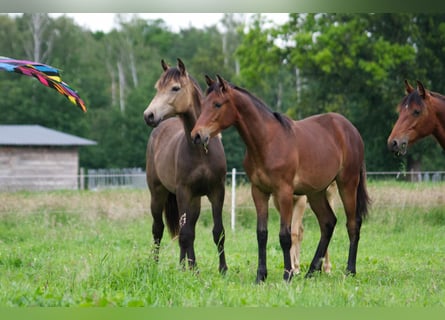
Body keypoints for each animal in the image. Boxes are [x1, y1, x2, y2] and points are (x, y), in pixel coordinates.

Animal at [142, 59, 227, 272]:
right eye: (157, 87)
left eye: (175, 88)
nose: (149, 115)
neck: (201, 150)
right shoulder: (183, 192)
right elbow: (185, 234)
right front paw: (193, 270)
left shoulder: (217, 191)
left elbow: (218, 232)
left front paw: (223, 269)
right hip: (158, 194)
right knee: (159, 229)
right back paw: (157, 265)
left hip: (194, 201)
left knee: (187, 230)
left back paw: (183, 265)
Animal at [191, 75, 368, 282]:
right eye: (203, 104)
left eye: (217, 104)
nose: (197, 135)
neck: (267, 142)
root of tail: (350, 129)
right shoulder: (259, 192)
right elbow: (261, 234)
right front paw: (261, 276)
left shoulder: (284, 192)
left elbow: (285, 235)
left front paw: (287, 274)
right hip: (316, 192)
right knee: (328, 223)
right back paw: (311, 271)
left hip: (347, 183)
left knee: (353, 223)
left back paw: (350, 270)